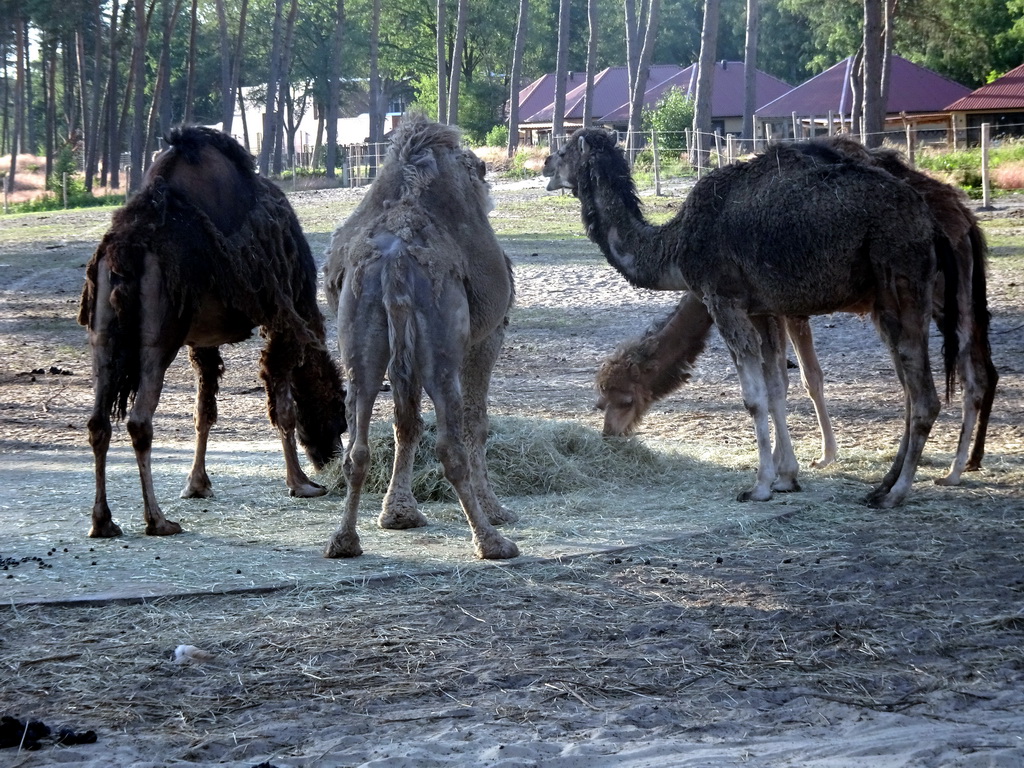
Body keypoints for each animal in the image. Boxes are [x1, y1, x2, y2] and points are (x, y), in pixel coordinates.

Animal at [76, 126, 348, 536]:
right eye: (339, 414)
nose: (329, 457)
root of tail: (125, 249)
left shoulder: (201, 341)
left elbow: (203, 411)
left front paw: (197, 484)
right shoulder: (282, 316)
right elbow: (282, 407)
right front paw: (301, 483)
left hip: (103, 336)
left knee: (98, 421)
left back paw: (103, 521)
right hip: (158, 339)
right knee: (140, 420)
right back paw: (158, 520)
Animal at [323, 114, 520, 561]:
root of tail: (396, 261)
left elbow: (406, 423)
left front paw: (398, 513)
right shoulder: (487, 338)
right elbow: (477, 422)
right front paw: (498, 511)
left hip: (361, 336)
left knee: (357, 443)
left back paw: (344, 540)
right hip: (441, 348)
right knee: (450, 444)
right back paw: (492, 542)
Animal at [544, 129, 958, 507]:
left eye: (563, 151)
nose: (546, 164)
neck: (674, 245)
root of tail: (930, 222)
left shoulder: (724, 301)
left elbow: (754, 398)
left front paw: (759, 486)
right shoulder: (761, 308)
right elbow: (775, 389)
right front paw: (787, 477)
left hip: (901, 283)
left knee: (924, 395)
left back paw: (897, 493)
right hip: (891, 301)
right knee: (912, 390)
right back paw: (883, 486)